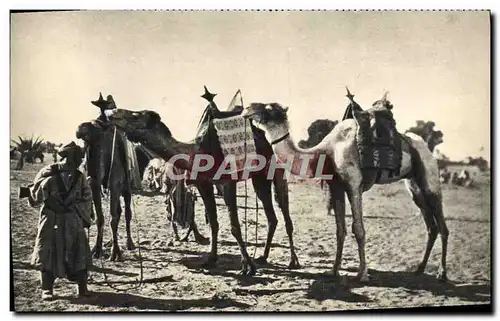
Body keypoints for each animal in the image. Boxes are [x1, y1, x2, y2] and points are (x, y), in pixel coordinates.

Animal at [240, 90, 452, 280]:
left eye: (269, 108)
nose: (247, 108)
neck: (327, 151)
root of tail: (423, 144)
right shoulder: (337, 187)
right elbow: (339, 229)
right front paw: (333, 270)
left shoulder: (353, 184)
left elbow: (358, 229)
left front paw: (363, 274)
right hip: (414, 185)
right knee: (431, 226)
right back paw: (419, 269)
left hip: (430, 178)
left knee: (442, 225)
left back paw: (442, 273)